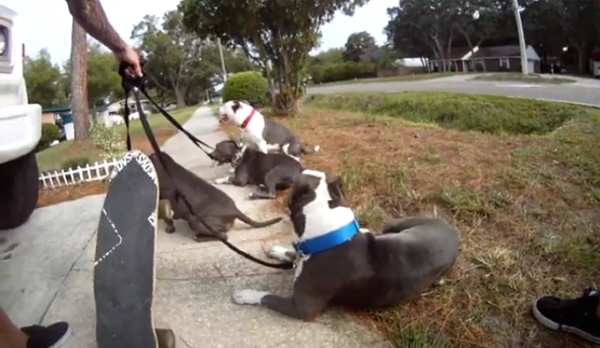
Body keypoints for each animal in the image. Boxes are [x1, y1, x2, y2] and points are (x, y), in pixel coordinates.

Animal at [230, 169, 460, 320]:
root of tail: (452, 230)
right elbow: (293, 255)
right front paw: (278, 250)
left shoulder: (303, 307)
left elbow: (267, 297)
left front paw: (246, 295)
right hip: (393, 225)